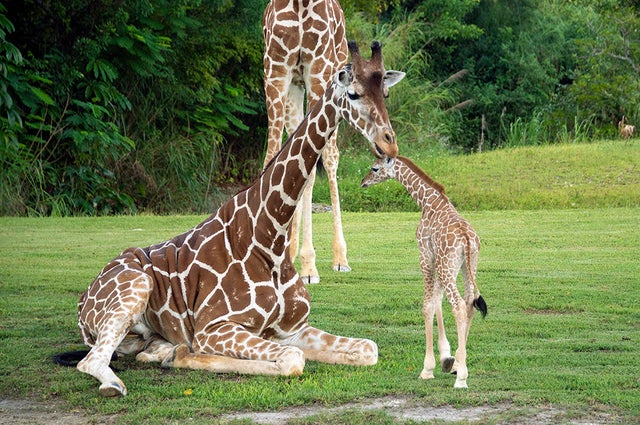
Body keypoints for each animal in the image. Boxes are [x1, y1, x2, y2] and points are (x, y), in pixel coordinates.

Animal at [56, 41, 405, 397]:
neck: (270, 234)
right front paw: (190, 354)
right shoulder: (214, 327)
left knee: (139, 348)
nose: (388, 144)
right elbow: (291, 359)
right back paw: (124, 378)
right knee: (91, 361)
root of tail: (83, 300)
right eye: (353, 94)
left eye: (385, 92)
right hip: (136, 286)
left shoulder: (294, 328)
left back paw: (165, 352)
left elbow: (368, 348)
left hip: (137, 329)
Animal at [262, 0, 350, 284]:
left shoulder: (317, 70)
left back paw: (340, 258)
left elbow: (311, 167)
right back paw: (288, 252)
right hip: (294, 87)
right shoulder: (275, 71)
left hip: (332, 77)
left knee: (331, 157)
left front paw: (309, 267)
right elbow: (273, 158)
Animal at [361, 156, 487, 388]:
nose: (363, 182)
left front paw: (428, 369)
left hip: (449, 266)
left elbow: (427, 305)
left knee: (458, 305)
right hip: (467, 266)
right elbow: (437, 300)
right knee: (469, 303)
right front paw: (448, 360)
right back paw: (460, 365)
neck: (427, 201)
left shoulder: (426, 256)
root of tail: (467, 238)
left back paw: (462, 379)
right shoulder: (438, 261)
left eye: (375, 168)